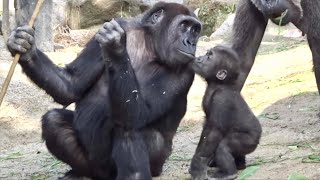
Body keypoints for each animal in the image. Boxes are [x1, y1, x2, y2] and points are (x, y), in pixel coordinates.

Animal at [6, 2, 201, 179]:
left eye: (195, 30)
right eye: (184, 26)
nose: (191, 42)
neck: (149, 45)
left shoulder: (185, 70)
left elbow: (138, 114)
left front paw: (116, 48)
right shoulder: (120, 27)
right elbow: (71, 84)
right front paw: (25, 47)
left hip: (156, 166)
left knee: (129, 127)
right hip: (95, 166)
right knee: (54, 121)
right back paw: (79, 172)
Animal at [189, 45, 262, 179]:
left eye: (209, 57)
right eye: (206, 54)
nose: (199, 58)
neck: (219, 83)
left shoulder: (221, 99)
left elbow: (214, 132)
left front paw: (198, 161)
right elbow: (207, 127)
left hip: (250, 140)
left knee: (224, 146)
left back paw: (229, 173)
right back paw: (240, 165)